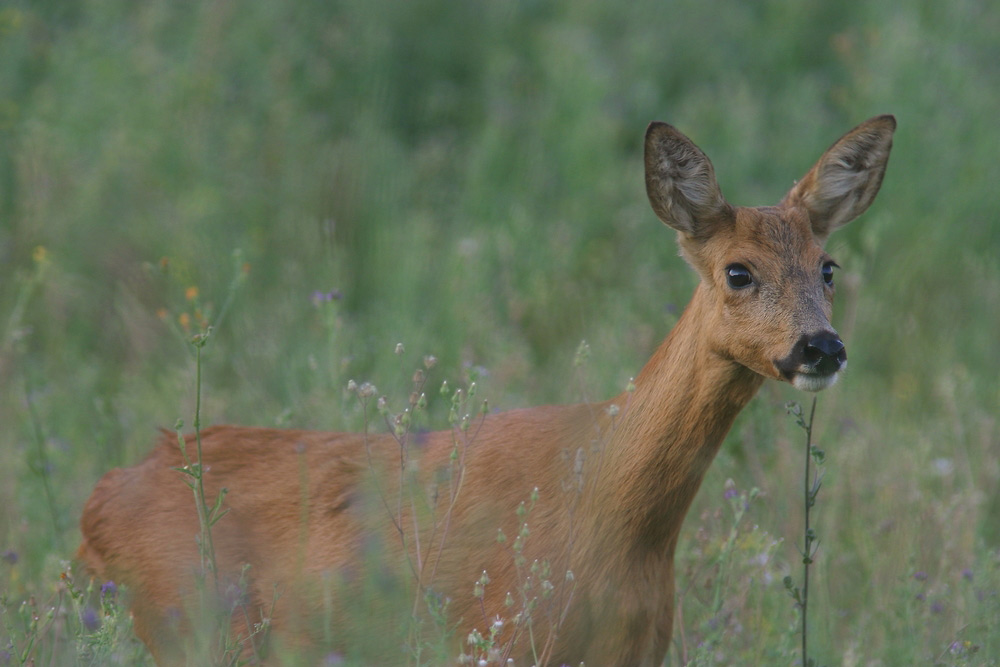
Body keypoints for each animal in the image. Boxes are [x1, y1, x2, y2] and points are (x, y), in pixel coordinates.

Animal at [74, 116, 896, 667]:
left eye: (829, 267)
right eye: (737, 270)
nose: (821, 346)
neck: (611, 511)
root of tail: (100, 500)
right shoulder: (497, 634)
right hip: (191, 625)